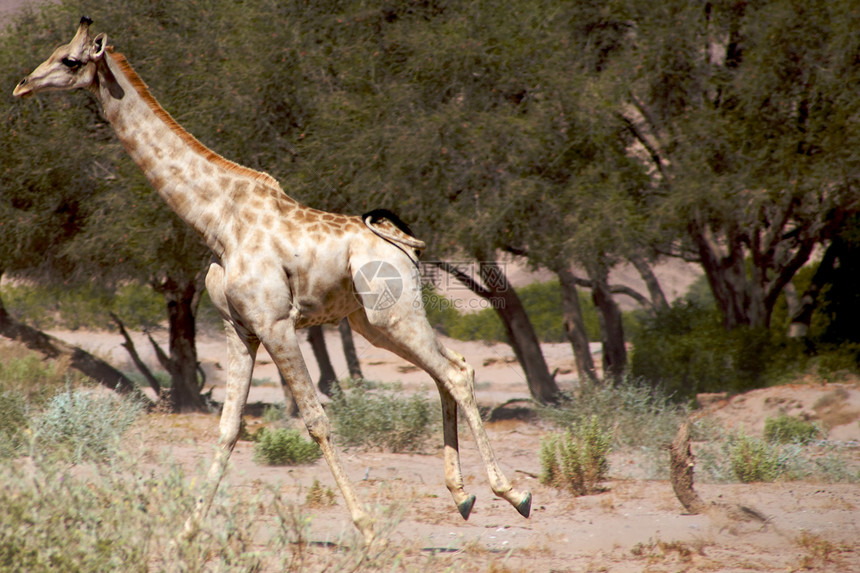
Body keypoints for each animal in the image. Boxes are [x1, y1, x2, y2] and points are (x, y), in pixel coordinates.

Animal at [15, 17, 532, 544]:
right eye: (54, 52)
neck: (217, 221)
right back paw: (463, 496)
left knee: (455, 373)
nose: (22, 85)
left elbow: (317, 420)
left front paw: (367, 527)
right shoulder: (239, 327)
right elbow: (228, 426)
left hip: (394, 314)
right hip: (374, 323)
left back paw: (514, 494)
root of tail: (405, 246)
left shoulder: (276, 322)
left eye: (70, 60)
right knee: (449, 369)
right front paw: (187, 530)